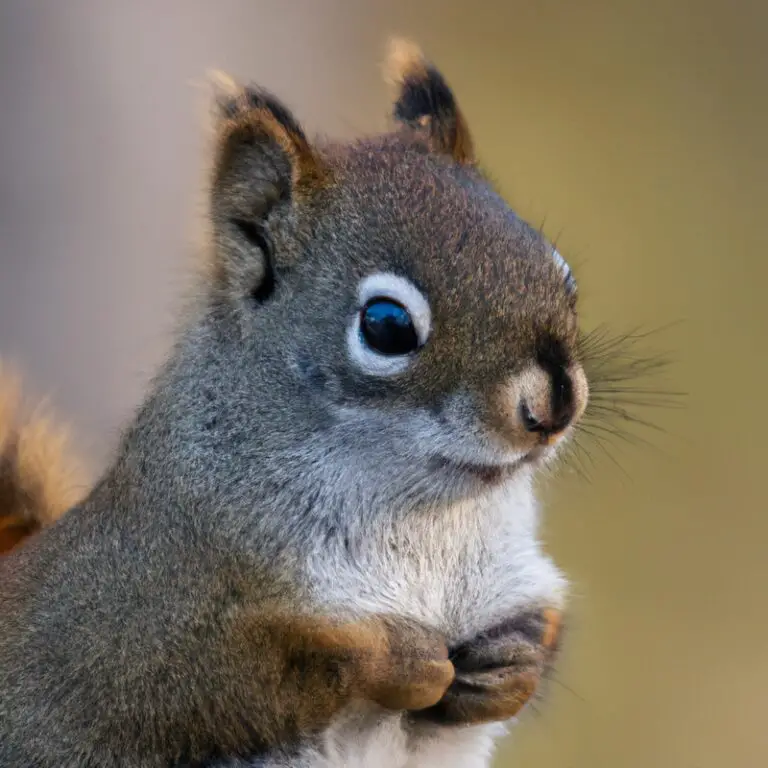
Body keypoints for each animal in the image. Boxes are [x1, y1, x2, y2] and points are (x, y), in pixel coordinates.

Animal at [0, 40, 588, 768]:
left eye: (563, 275)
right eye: (386, 325)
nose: (554, 403)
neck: (432, 520)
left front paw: (512, 664)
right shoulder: (138, 624)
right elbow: (253, 673)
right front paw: (404, 660)